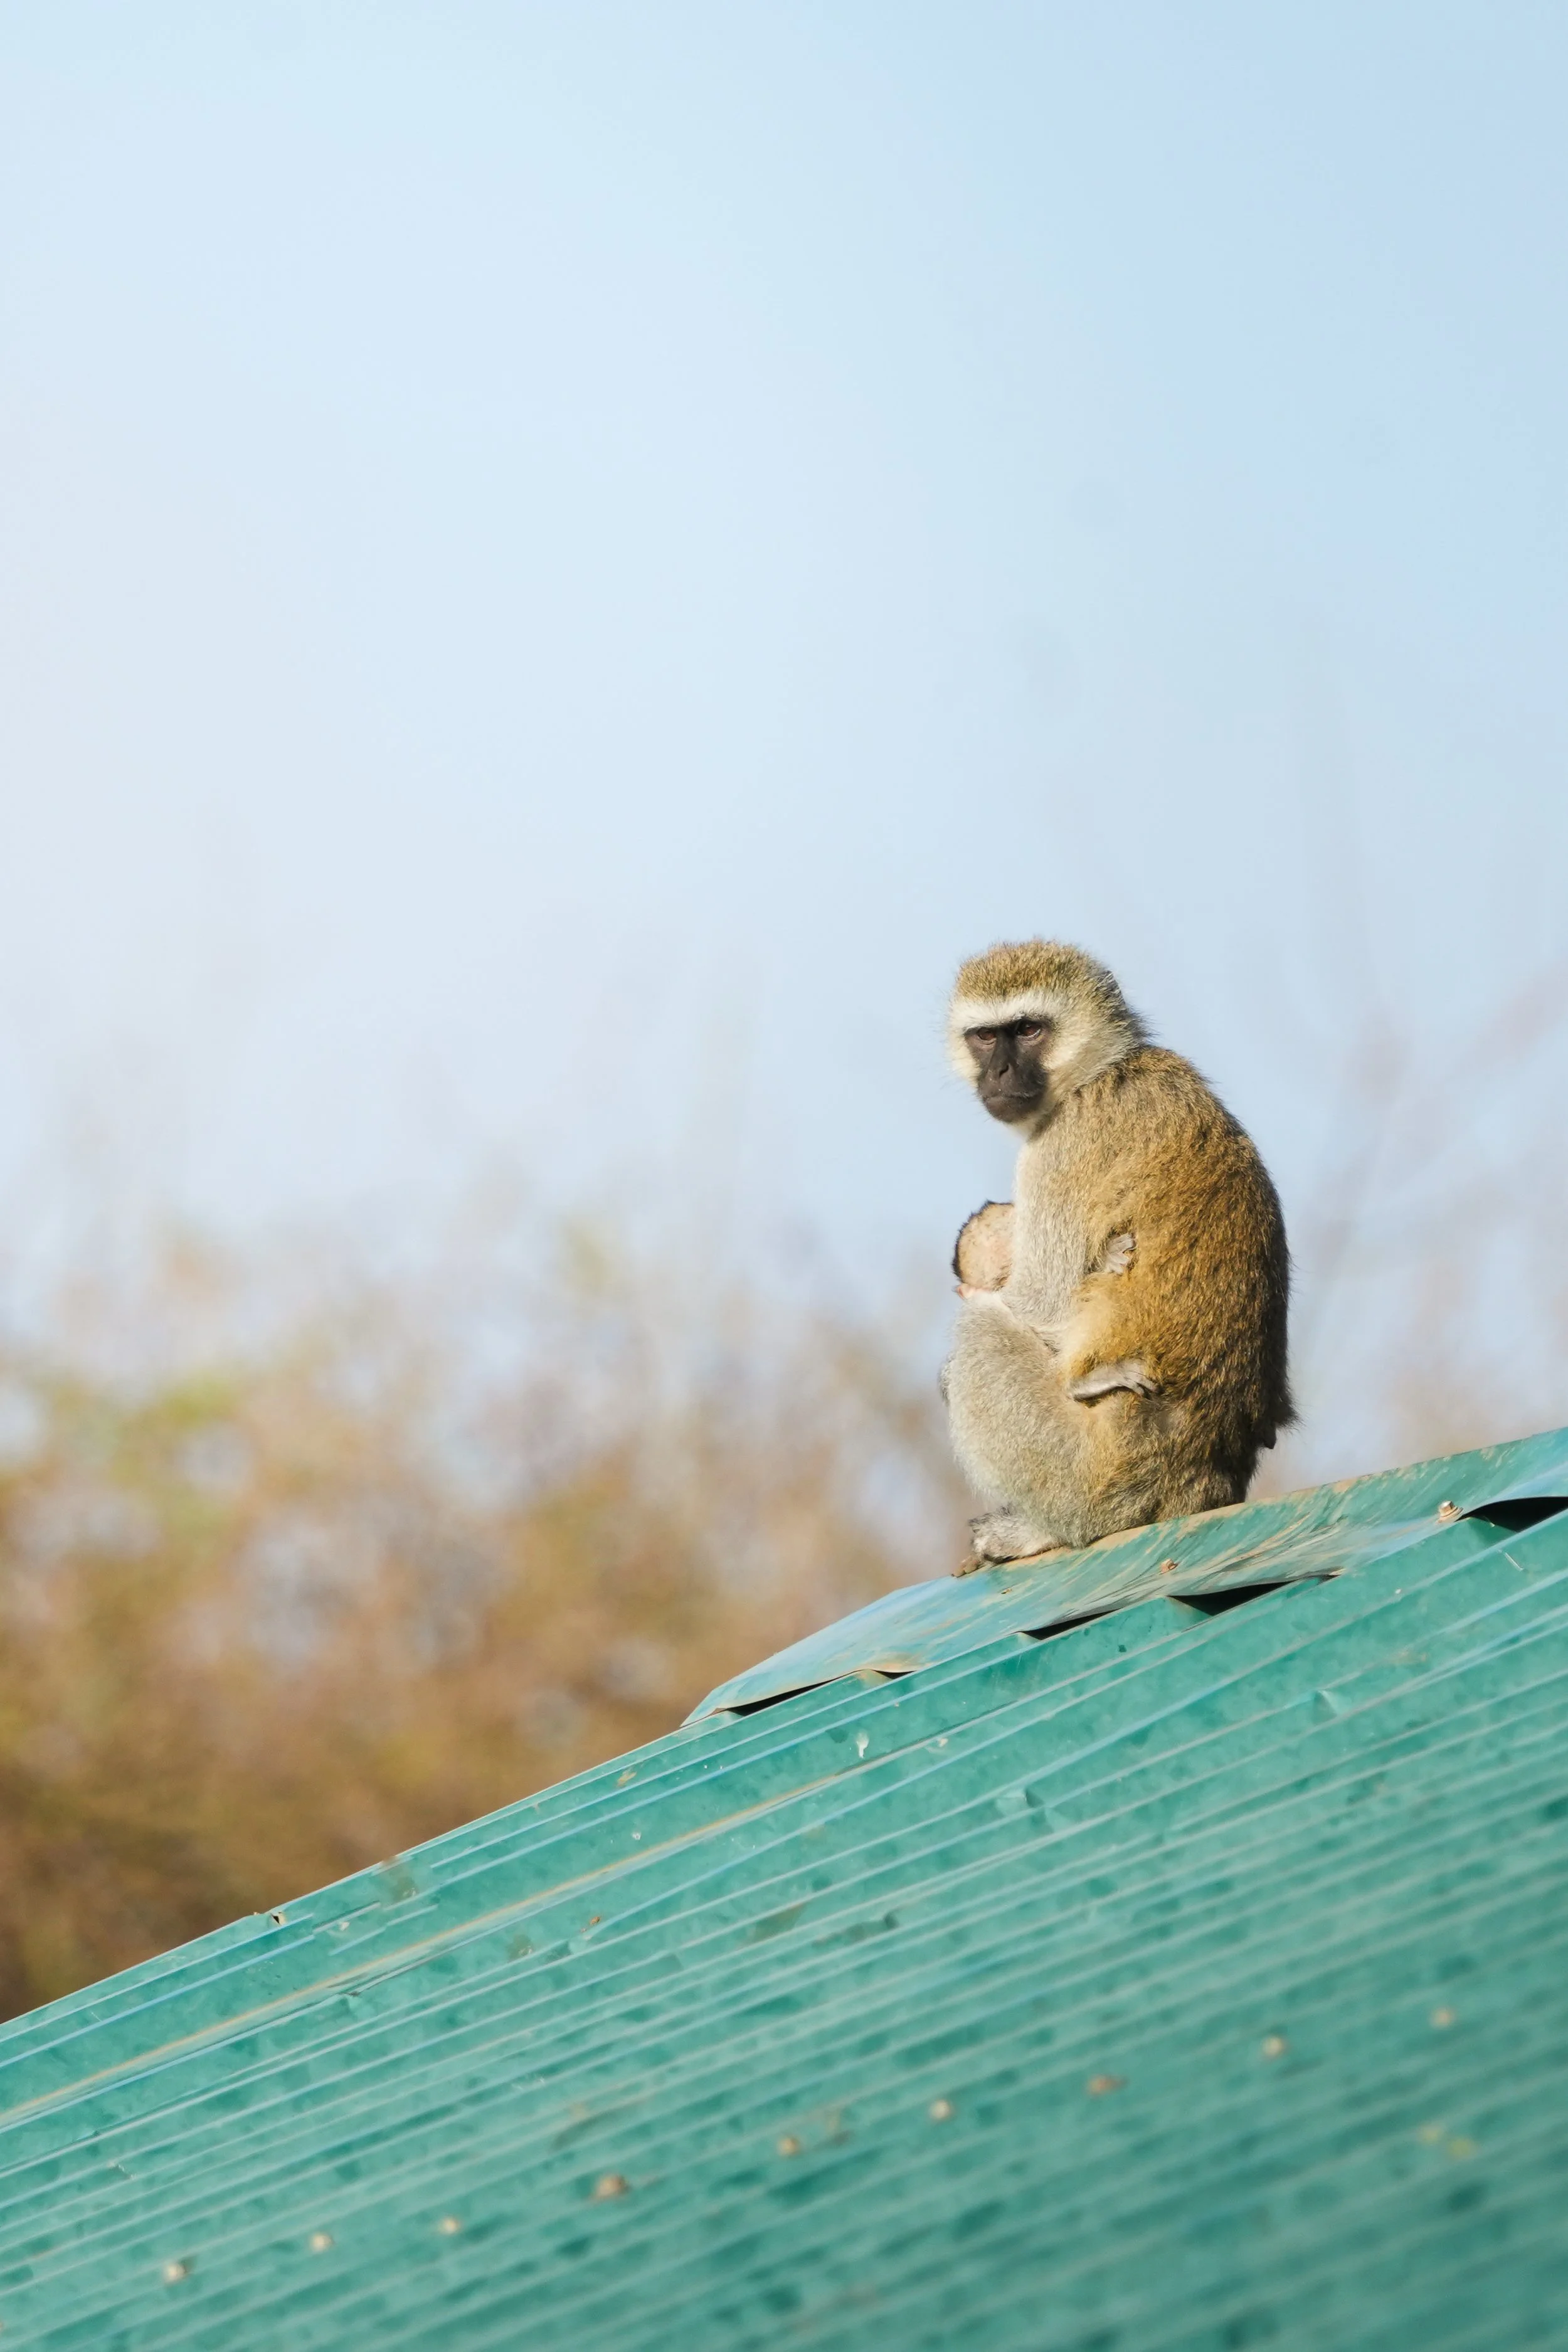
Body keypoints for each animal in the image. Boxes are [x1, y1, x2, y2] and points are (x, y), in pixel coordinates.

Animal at [941, 940, 1292, 1570]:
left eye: (1028, 1029)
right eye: (985, 1037)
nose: (999, 1072)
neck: (1103, 1070)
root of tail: (1202, 1476)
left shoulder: (1061, 1148)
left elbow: (1041, 1305)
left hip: (1086, 1475)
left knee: (981, 1328)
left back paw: (1042, 1529)